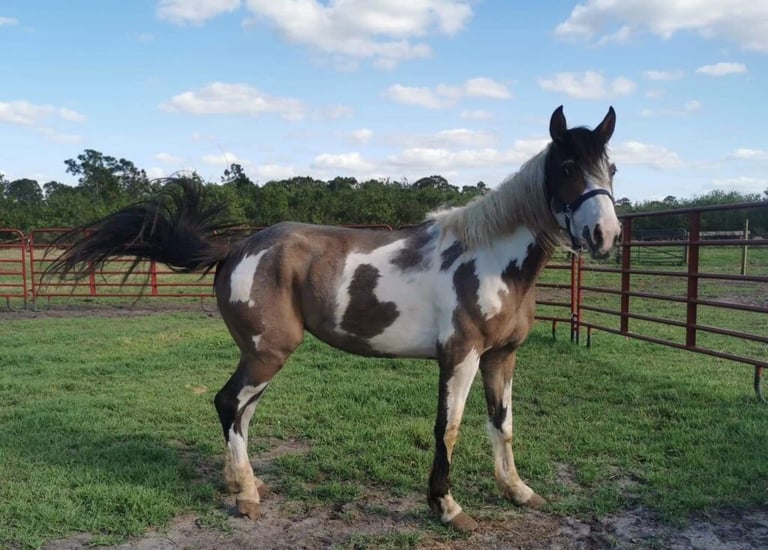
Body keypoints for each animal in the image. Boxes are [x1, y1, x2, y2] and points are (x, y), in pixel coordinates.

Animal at [49, 105, 621, 531]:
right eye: (566, 168)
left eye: (610, 170)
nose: (606, 236)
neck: (488, 258)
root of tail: (237, 248)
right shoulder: (459, 357)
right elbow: (450, 428)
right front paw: (447, 507)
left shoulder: (502, 356)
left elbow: (502, 424)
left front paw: (519, 491)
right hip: (268, 351)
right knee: (228, 403)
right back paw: (246, 498)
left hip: (261, 353)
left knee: (242, 411)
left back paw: (242, 484)